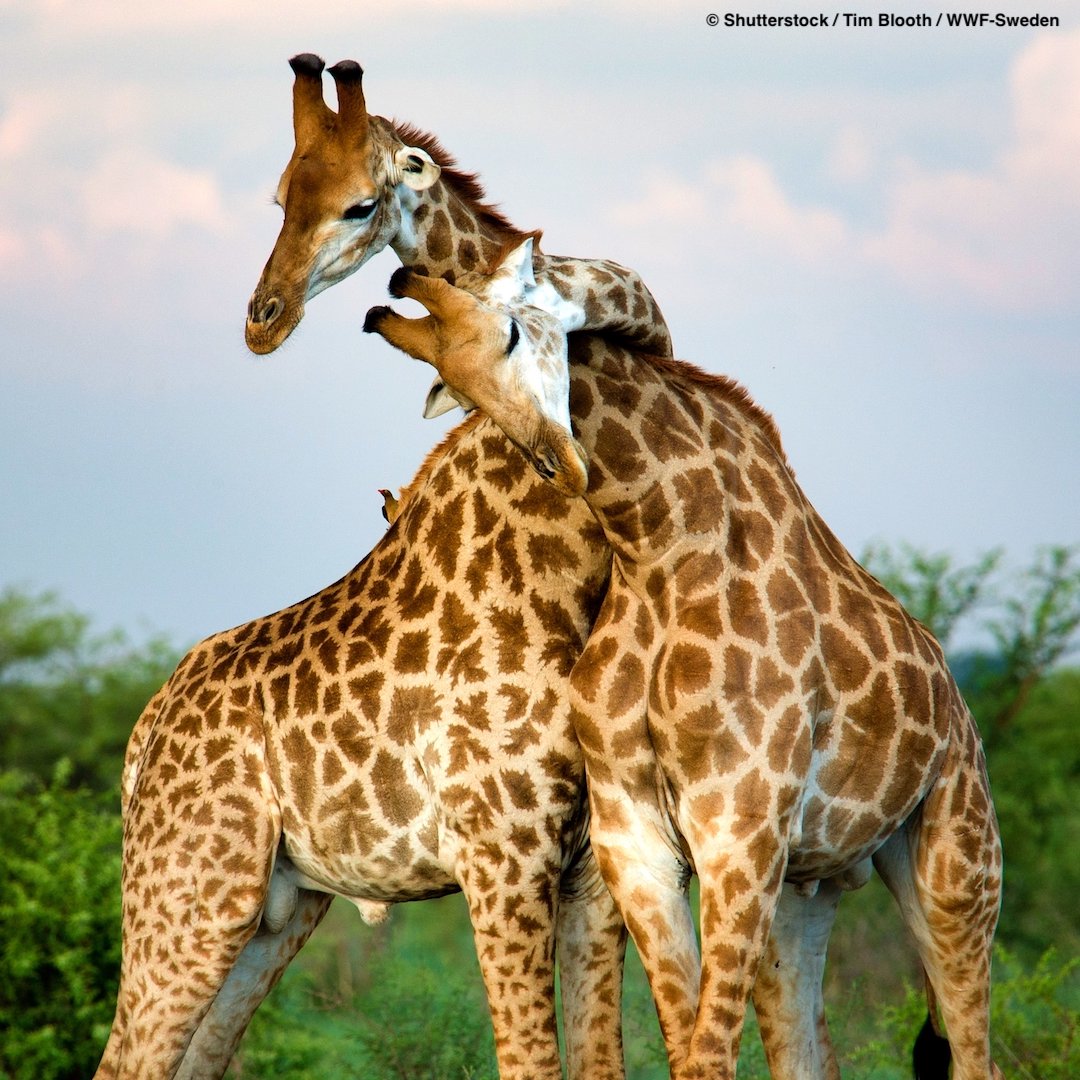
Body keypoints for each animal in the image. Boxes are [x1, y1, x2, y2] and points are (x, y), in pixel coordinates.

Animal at [94, 401, 631, 1079]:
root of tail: (150, 722)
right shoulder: (506, 858)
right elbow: (530, 1060)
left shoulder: (593, 870)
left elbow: (600, 1059)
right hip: (195, 896)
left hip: (277, 915)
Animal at [364, 254, 1005, 1080]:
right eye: (453, 384)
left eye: (511, 333)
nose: (558, 461)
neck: (659, 554)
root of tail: (960, 709)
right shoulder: (637, 840)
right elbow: (687, 1048)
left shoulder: (739, 833)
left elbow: (706, 1055)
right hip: (807, 887)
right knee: (809, 1050)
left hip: (957, 862)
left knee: (974, 1049)